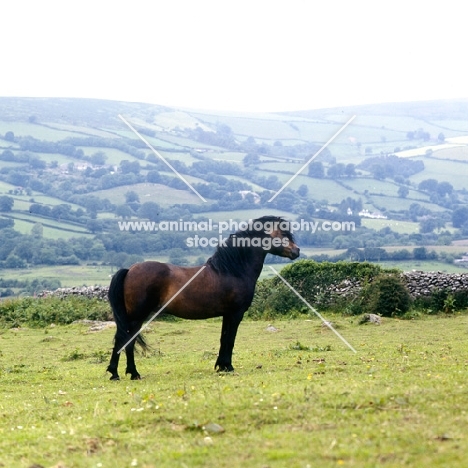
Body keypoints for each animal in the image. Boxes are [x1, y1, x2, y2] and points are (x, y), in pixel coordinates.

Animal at [107, 216, 300, 380]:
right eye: (283, 234)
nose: (296, 251)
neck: (232, 270)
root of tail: (130, 270)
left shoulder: (227, 315)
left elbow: (224, 338)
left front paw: (221, 366)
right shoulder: (236, 313)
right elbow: (230, 340)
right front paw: (228, 367)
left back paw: (115, 373)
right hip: (136, 317)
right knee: (126, 340)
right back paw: (132, 373)